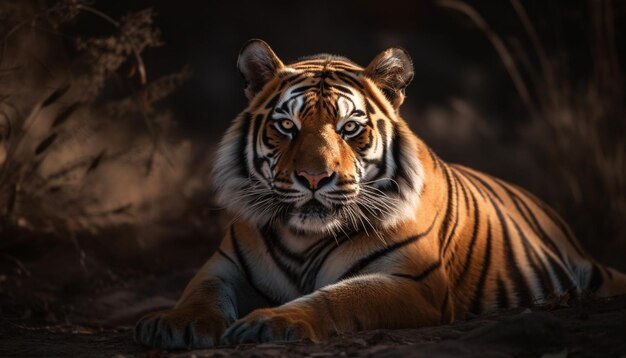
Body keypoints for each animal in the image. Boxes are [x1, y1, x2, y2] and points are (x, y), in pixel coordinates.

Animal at [134, 39, 624, 350]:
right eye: (287, 126)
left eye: (350, 128)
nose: (314, 178)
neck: (304, 237)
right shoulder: (223, 266)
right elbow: (199, 293)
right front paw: (176, 325)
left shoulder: (413, 281)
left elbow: (339, 296)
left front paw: (275, 321)